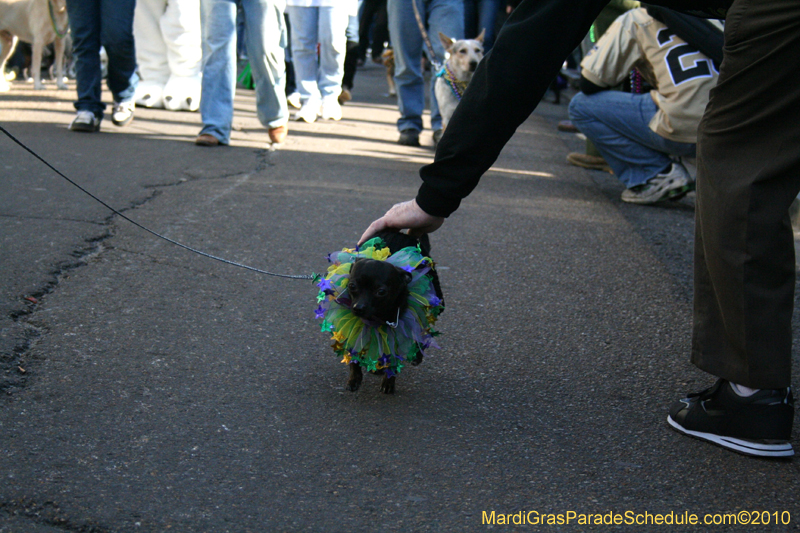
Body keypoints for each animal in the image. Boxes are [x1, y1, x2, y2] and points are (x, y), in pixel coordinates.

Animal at [344, 231, 444, 392]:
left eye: (381, 292)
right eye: (352, 286)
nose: (358, 307)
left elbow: (394, 359)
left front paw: (389, 381)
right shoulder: (354, 327)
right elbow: (354, 354)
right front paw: (354, 378)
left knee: (423, 332)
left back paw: (416, 355)